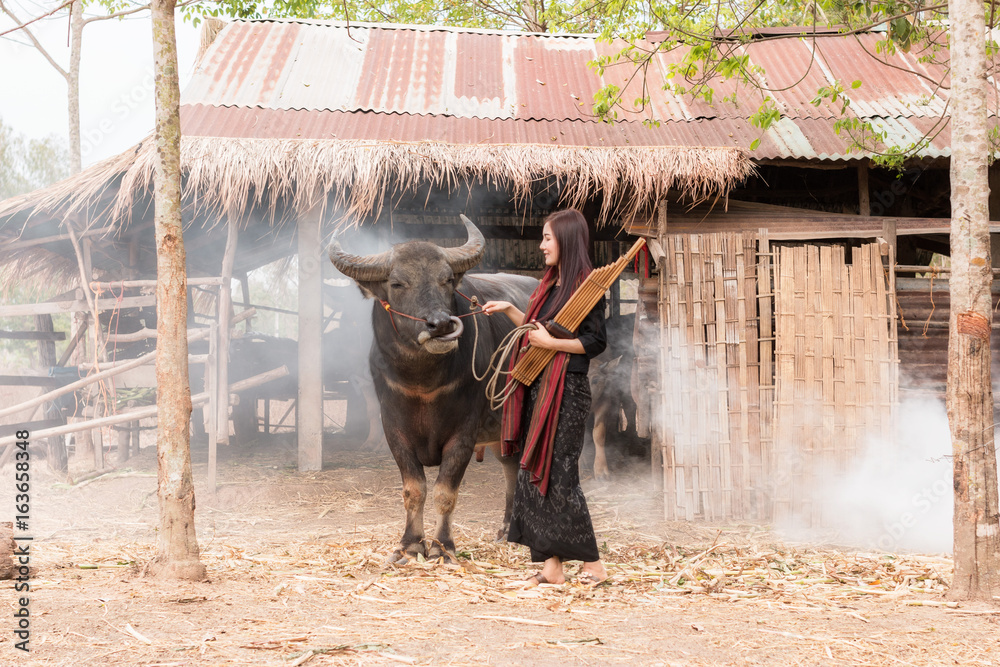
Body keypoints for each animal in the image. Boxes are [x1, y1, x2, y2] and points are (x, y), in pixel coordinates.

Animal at [330, 217, 540, 560]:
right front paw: (410, 544)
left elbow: (445, 491)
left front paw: (442, 547)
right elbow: (414, 489)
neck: (423, 382)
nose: (440, 325)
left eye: (447, 280)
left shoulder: (464, 433)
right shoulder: (394, 430)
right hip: (501, 432)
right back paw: (506, 530)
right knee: (510, 467)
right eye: (397, 284)